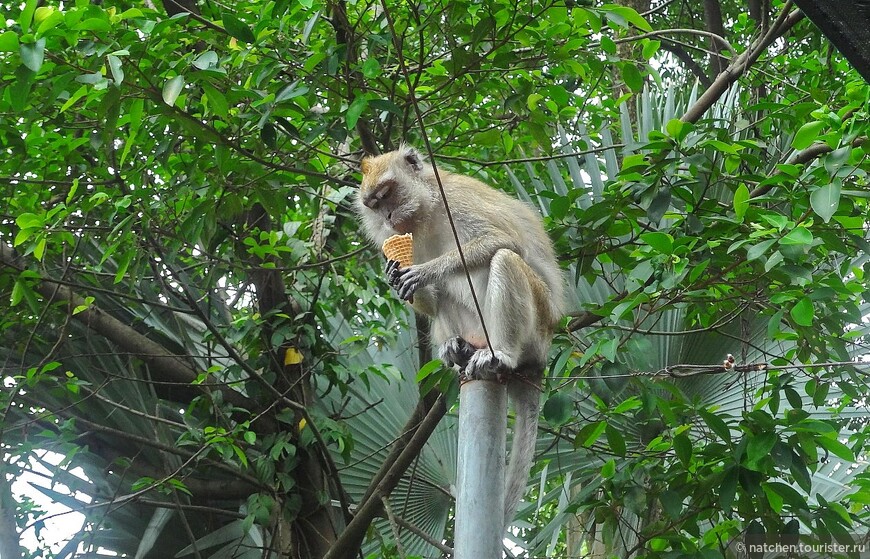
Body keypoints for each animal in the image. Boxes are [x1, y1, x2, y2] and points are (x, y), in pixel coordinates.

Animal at [354, 143, 564, 524]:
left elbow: (504, 239)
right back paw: (457, 349)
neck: (425, 210)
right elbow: (428, 302)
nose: (388, 217)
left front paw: (425, 270)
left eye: (387, 193)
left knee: (504, 259)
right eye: (373, 205)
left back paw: (500, 354)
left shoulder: (457, 201)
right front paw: (395, 275)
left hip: (536, 327)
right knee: (445, 301)